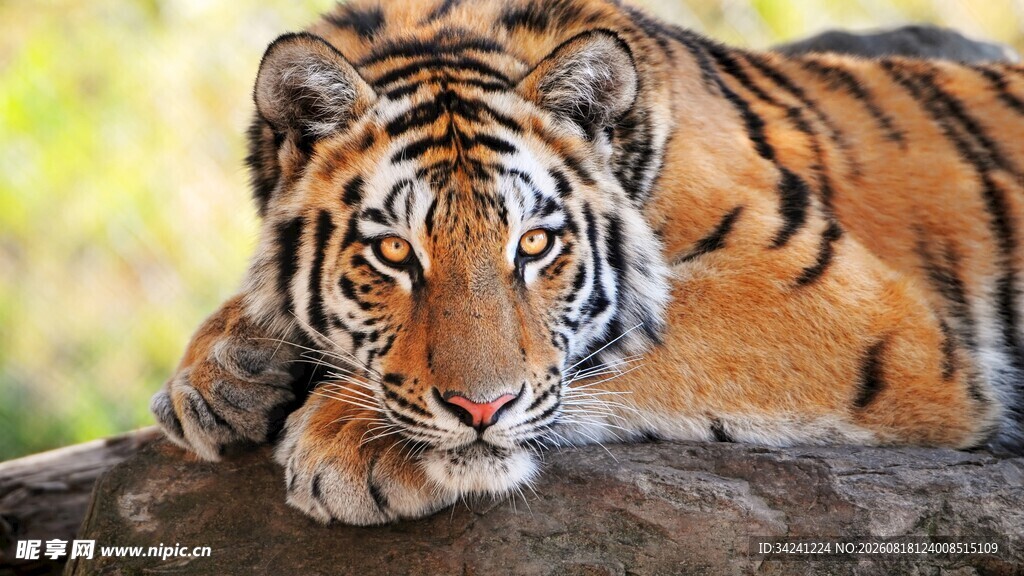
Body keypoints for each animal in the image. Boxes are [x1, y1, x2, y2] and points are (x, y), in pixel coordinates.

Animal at [149, 0, 1024, 525]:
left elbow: (618, 348)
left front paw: (349, 439)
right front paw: (221, 373)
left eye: (534, 244)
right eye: (394, 251)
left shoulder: (849, 308)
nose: (480, 411)